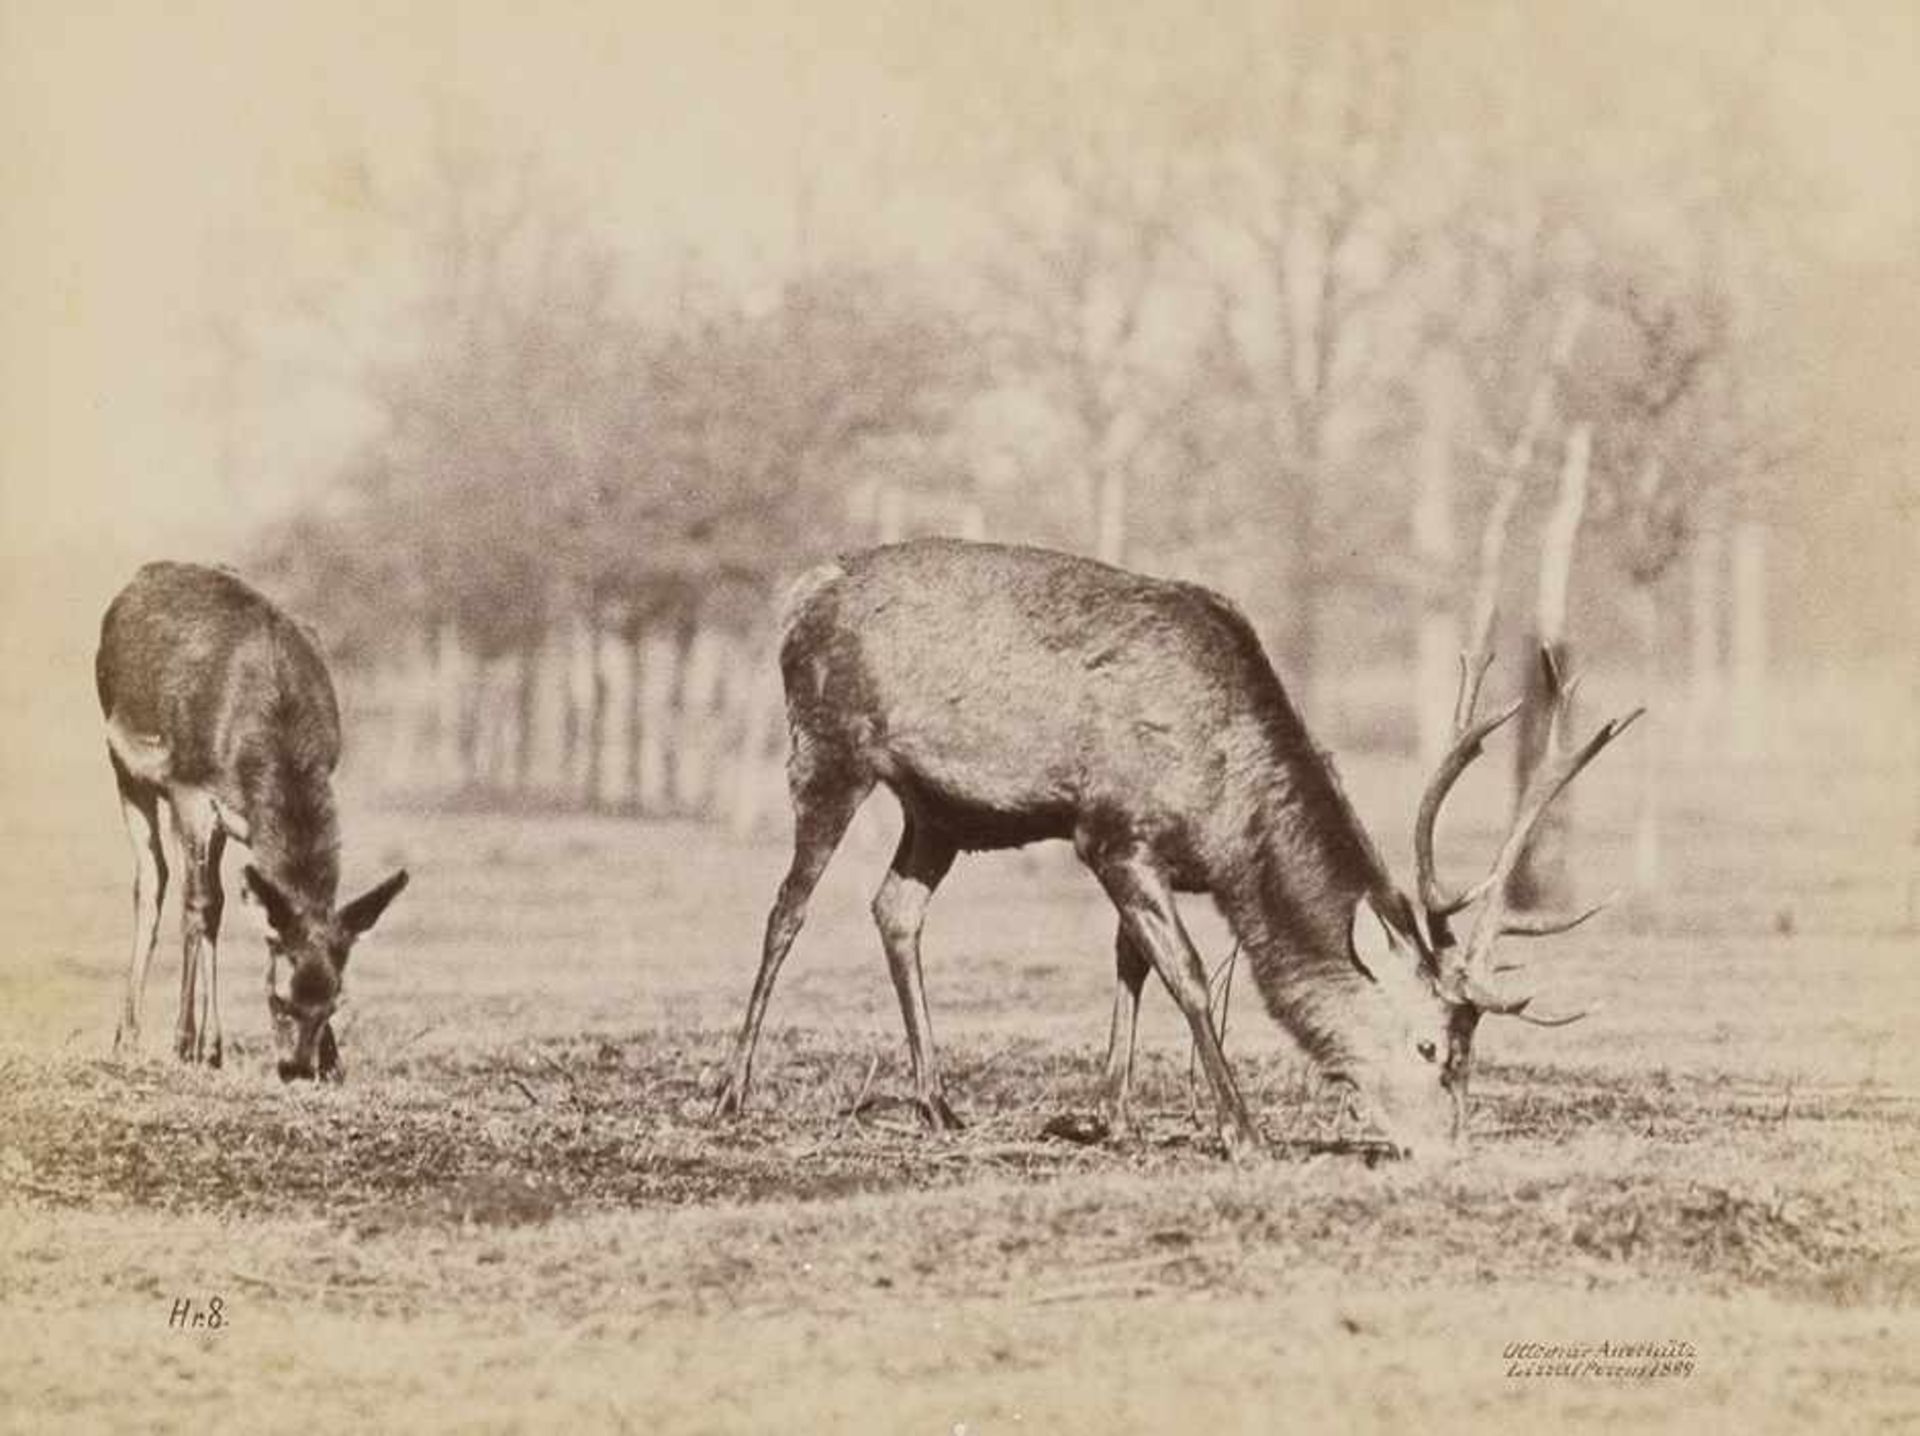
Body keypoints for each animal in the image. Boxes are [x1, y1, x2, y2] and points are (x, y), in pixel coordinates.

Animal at [95, 560, 407, 1075]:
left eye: (333, 1003)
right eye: (278, 998)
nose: (296, 1068)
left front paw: (332, 1062)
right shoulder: (190, 790)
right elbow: (197, 906)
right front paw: (186, 1044)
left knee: (212, 895)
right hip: (125, 765)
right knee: (155, 879)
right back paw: (130, 1038)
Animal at [714, 537, 1643, 1151]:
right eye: (1431, 1046)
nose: (1450, 1149)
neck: (1230, 830)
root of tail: (804, 592)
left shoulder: (1153, 858)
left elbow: (1131, 965)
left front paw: (1112, 1115)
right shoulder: (1112, 831)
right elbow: (1185, 973)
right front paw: (1242, 1130)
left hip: (937, 808)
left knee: (895, 909)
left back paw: (937, 1103)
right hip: (829, 749)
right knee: (785, 910)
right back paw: (730, 1091)